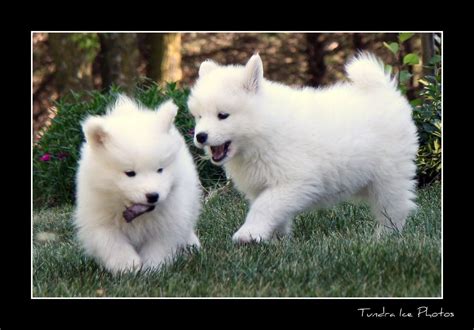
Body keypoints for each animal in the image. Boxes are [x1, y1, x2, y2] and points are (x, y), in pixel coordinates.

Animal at [74, 96, 202, 276]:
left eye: (160, 169)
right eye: (130, 173)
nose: (153, 195)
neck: (137, 213)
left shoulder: (170, 217)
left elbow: (159, 244)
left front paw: (152, 268)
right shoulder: (100, 219)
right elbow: (112, 242)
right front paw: (127, 267)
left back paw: (192, 245)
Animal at [189, 51, 418, 242]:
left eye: (223, 115)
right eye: (199, 116)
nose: (200, 136)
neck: (265, 129)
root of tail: (385, 92)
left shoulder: (295, 181)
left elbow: (264, 206)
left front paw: (248, 234)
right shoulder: (261, 185)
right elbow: (272, 211)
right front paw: (275, 239)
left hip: (389, 177)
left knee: (394, 208)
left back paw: (384, 237)